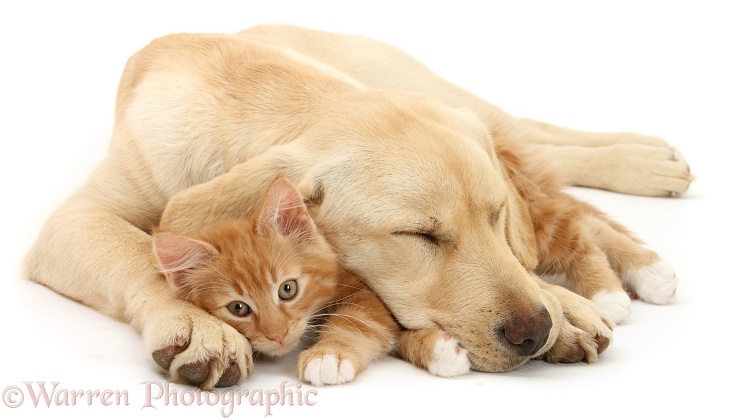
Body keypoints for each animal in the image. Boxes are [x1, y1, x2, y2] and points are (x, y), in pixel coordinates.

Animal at [24, 24, 692, 388]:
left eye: (493, 216)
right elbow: (139, 253)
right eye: (420, 235)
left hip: (442, 92)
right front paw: (194, 325)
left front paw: (561, 303)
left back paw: (647, 169)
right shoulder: (71, 222)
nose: (534, 332)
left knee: (535, 139)